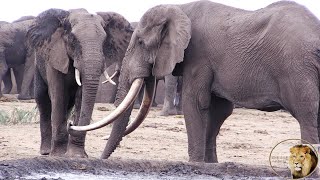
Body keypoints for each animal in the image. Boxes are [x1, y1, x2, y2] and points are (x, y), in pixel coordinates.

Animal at [27, 8, 132, 158]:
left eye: (104, 41)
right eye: (73, 39)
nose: (71, 125)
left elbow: (81, 97)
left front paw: (77, 156)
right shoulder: (56, 56)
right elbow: (58, 95)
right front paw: (59, 155)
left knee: (68, 105)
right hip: (39, 64)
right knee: (43, 101)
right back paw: (46, 151)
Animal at [68, 0, 320, 163]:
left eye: (140, 42)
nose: (100, 159)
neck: (180, 9)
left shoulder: (199, 55)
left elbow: (196, 104)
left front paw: (195, 163)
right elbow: (219, 110)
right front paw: (210, 164)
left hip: (298, 69)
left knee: (307, 114)